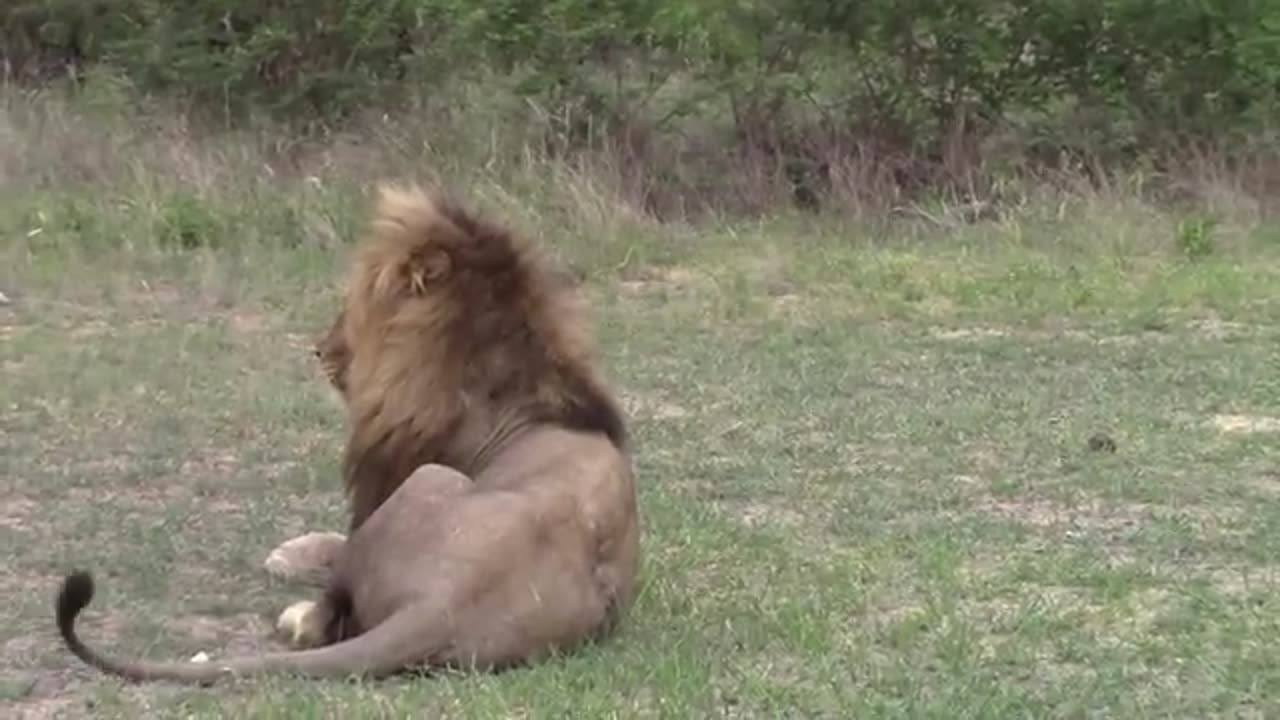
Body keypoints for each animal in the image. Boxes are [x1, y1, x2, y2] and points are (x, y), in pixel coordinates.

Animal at [55, 181, 645, 681]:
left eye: (354, 308)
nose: (319, 349)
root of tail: (439, 605)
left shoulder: (385, 484)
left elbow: (337, 543)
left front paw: (288, 553)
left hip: (431, 479)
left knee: (329, 606)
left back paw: (294, 611)